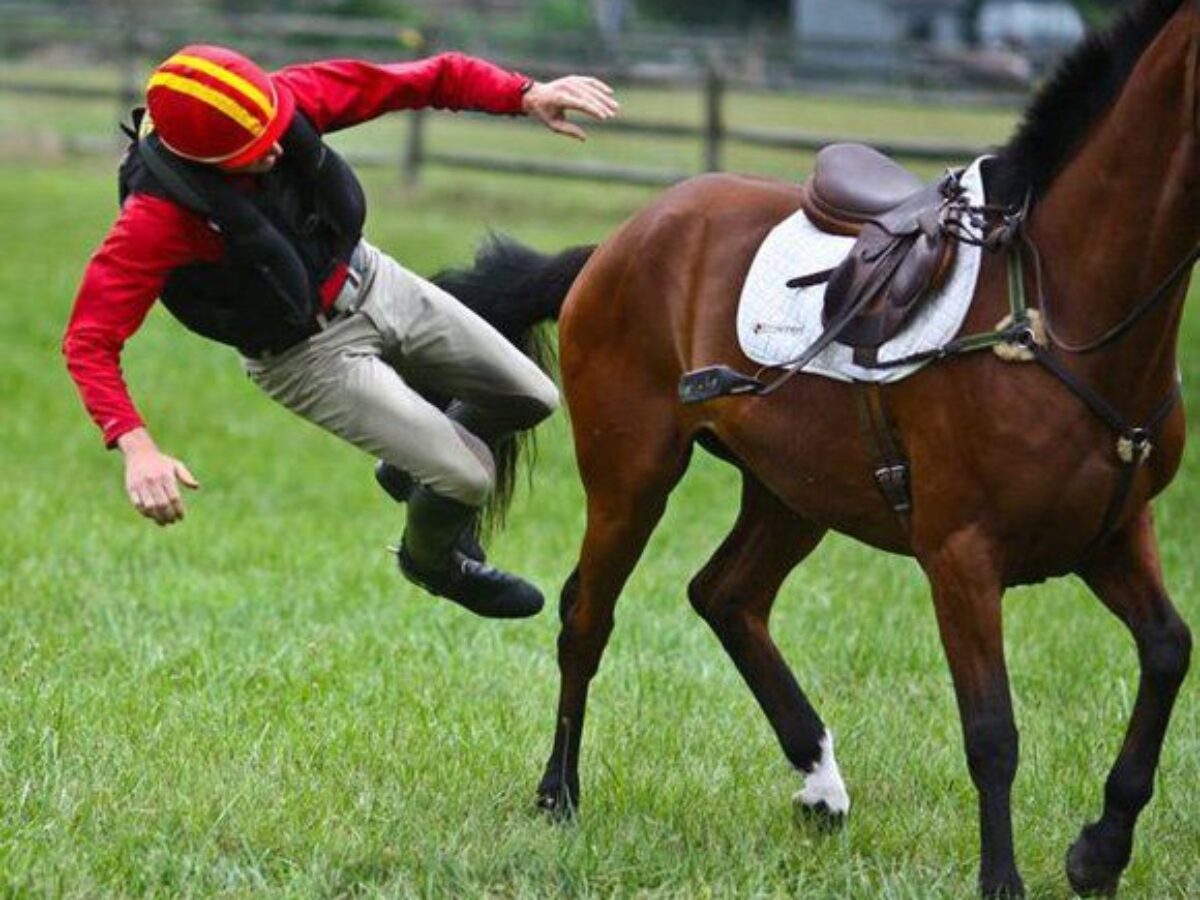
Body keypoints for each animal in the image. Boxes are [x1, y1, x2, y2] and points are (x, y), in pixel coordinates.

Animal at [438, 1, 1199, 895]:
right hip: (633, 475)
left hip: (793, 491)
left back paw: (820, 783)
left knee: (726, 596)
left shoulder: (1111, 533)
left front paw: (1100, 849)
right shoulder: (961, 554)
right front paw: (1006, 878)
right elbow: (992, 732)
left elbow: (1167, 653)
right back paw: (559, 794)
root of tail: (618, 242)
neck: (1055, 308)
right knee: (587, 615)